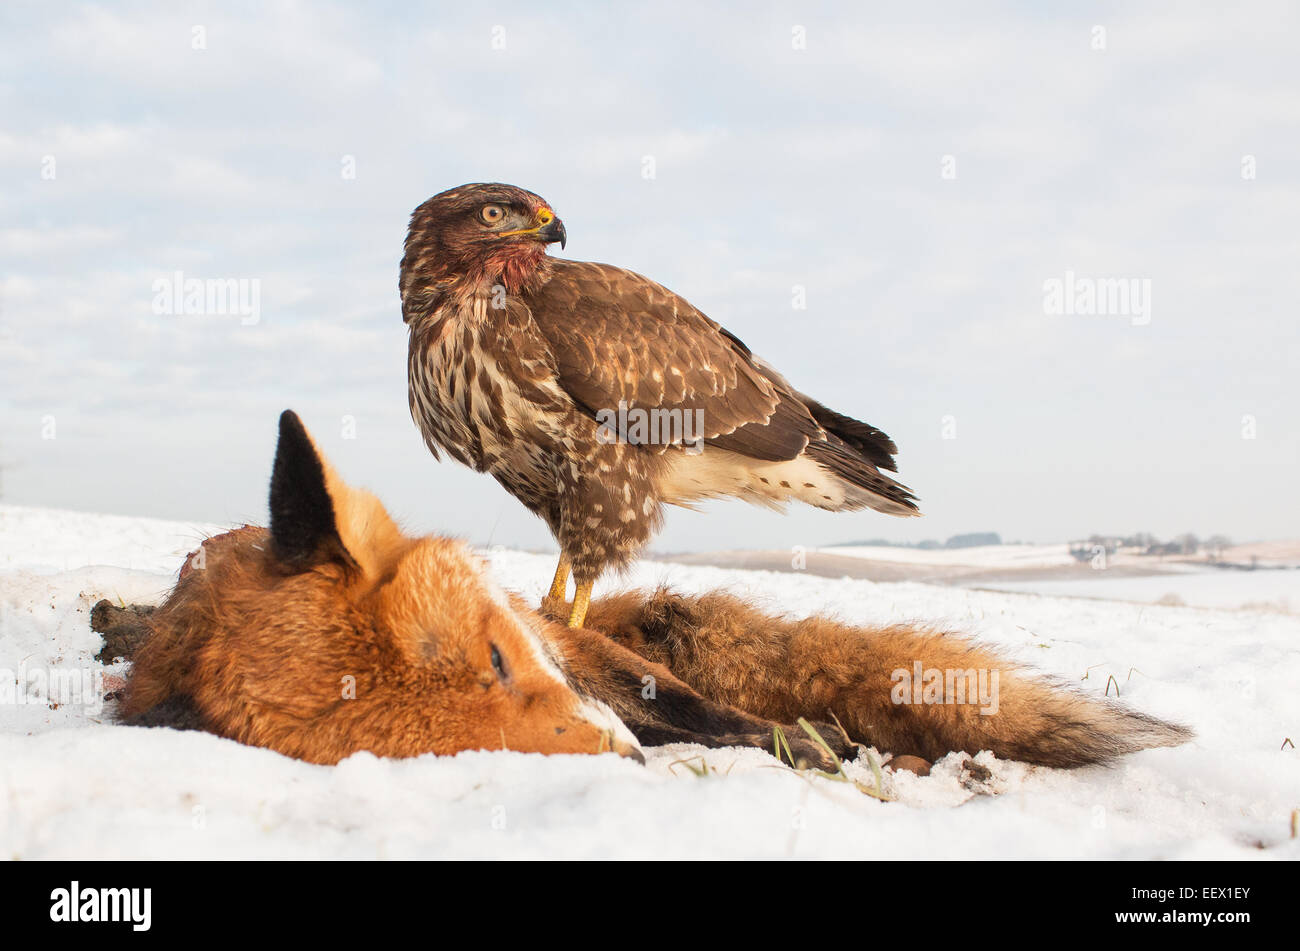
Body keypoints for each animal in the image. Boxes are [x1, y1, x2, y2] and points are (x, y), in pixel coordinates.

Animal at [96, 410, 1190, 774]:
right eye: (467, 749)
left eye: (497, 658)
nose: (621, 760)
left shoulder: (576, 646)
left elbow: (707, 710)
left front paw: (794, 742)